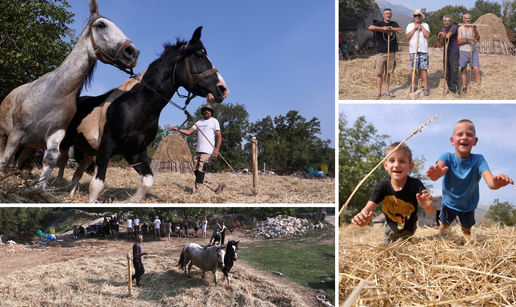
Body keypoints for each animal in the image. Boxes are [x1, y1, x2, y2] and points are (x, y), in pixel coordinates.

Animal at [55, 27, 230, 203]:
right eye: (199, 55)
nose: (223, 89)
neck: (135, 106)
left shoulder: (135, 152)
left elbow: (147, 181)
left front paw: (127, 201)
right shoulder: (106, 146)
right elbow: (96, 185)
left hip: (88, 152)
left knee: (77, 172)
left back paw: (70, 195)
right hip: (66, 143)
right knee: (61, 161)